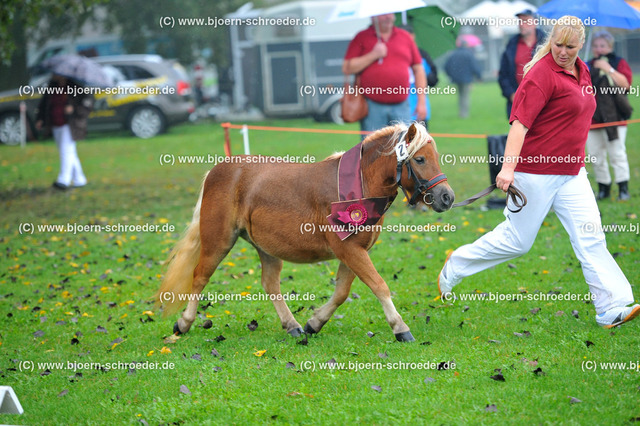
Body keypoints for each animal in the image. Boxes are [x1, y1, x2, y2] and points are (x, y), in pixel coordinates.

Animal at [157, 121, 452, 342]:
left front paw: (314, 323)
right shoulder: (349, 249)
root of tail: (218, 170)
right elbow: (379, 285)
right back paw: (184, 323)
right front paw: (401, 328)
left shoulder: (354, 252)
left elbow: (342, 292)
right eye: (420, 159)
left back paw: (293, 326)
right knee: (199, 277)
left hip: (265, 248)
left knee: (270, 284)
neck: (359, 185)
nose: (447, 197)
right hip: (219, 241)